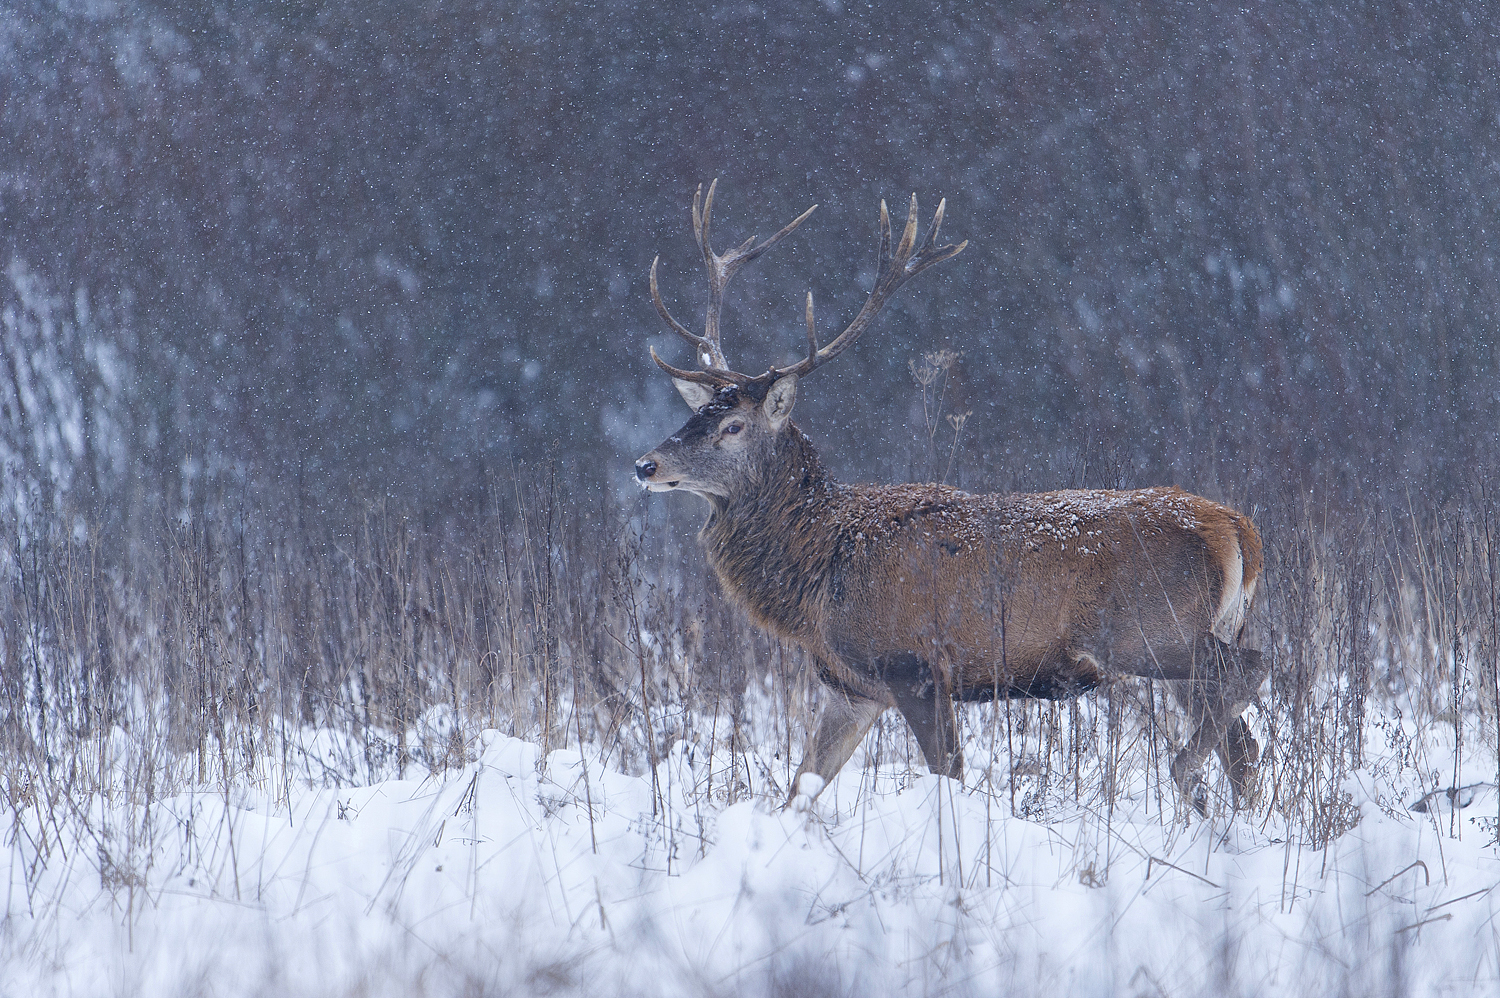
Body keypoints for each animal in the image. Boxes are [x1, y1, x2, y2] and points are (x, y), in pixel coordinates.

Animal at [634, 181, 1268, 815]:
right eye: (696, 414)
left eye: (733, 426)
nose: (646, 464)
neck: (819, 570)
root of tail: (1238, 528)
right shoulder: (853, 688)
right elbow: (801, 787)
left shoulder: (916, 665)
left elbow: (948, 772)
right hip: (1197, 635)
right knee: (1243, 744)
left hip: (1151, 632)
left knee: (1251, 673)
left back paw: (1184, 774)